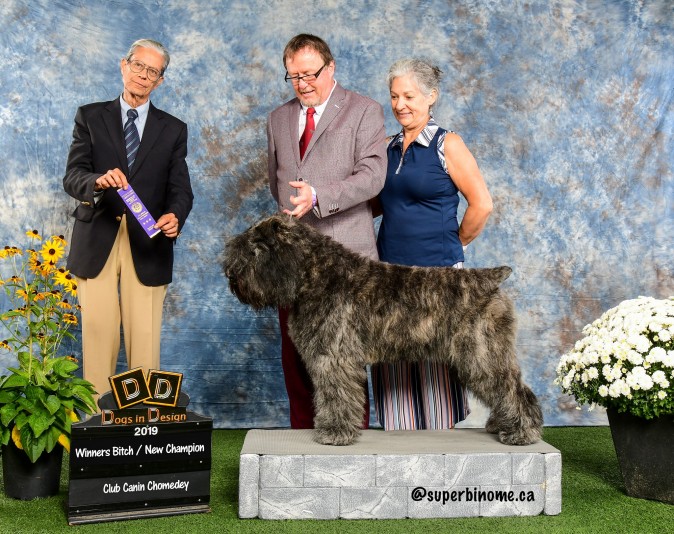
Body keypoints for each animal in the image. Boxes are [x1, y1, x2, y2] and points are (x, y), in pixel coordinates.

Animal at [224, 216, 540, 446]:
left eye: (256, 247)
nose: (231, 274)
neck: (316, 275)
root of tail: (490, 279)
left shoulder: (333, 359)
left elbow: (335, 396)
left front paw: (334, 432)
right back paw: (502, 425)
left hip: (482, 356)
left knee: (514, 391)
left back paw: (521, 432)